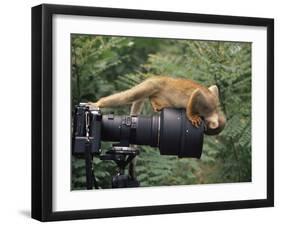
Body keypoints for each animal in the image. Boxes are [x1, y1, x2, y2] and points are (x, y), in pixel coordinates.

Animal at [89, 75, 225, 135]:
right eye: (206, 128)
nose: (205, 129)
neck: (214, 110)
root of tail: (158, 77)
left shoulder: (213, 98)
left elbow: (214, 88)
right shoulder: (207, 104)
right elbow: (197, 93)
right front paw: (192, 115)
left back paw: (155, 102)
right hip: (152, 84)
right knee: (130, 96)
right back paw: (99, 103)